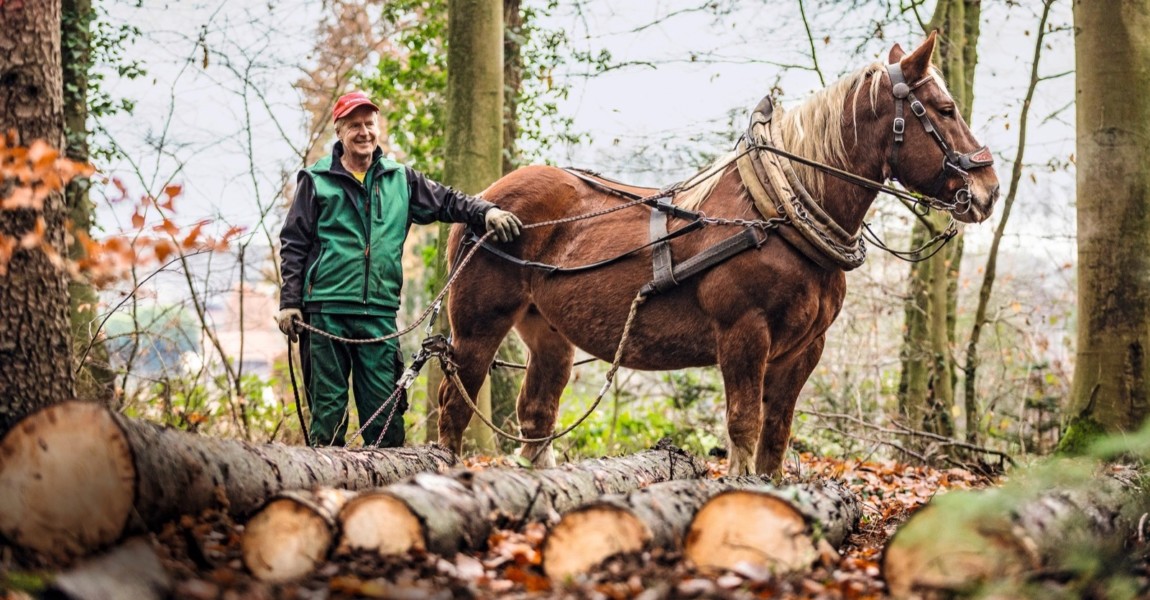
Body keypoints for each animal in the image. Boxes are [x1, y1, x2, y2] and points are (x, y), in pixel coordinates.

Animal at [437, 33, 998, 471]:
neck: (777, 214)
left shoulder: (802, 350)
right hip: (477, 328)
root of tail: (485, 204)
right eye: (945, 110)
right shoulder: (744, 334)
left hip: (549, 333)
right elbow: (744, 427)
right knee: (454, 407)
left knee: (536, 418)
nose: (989, 189)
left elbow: (776, 436)